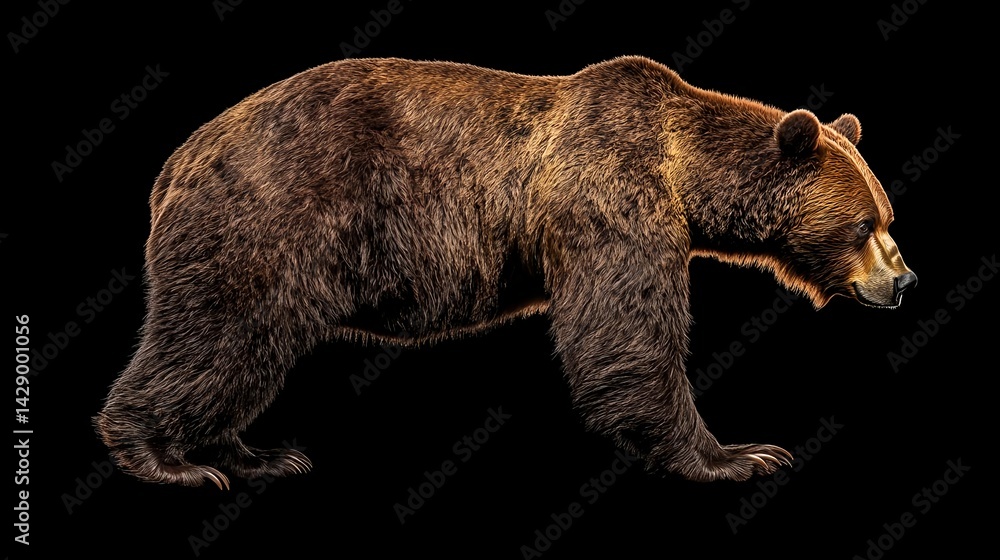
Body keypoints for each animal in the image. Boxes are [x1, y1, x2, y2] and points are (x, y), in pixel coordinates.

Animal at [95, 56, 916, 489]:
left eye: (888, 218)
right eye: (865, 226)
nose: (903, 281)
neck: (683, 168)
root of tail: (174, 162)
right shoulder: (609, 196)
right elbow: (627, 335)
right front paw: (737, 454)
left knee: (246, 354)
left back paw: (259, 454)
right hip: (268, 216)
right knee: (216, 336)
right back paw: (164, 459)